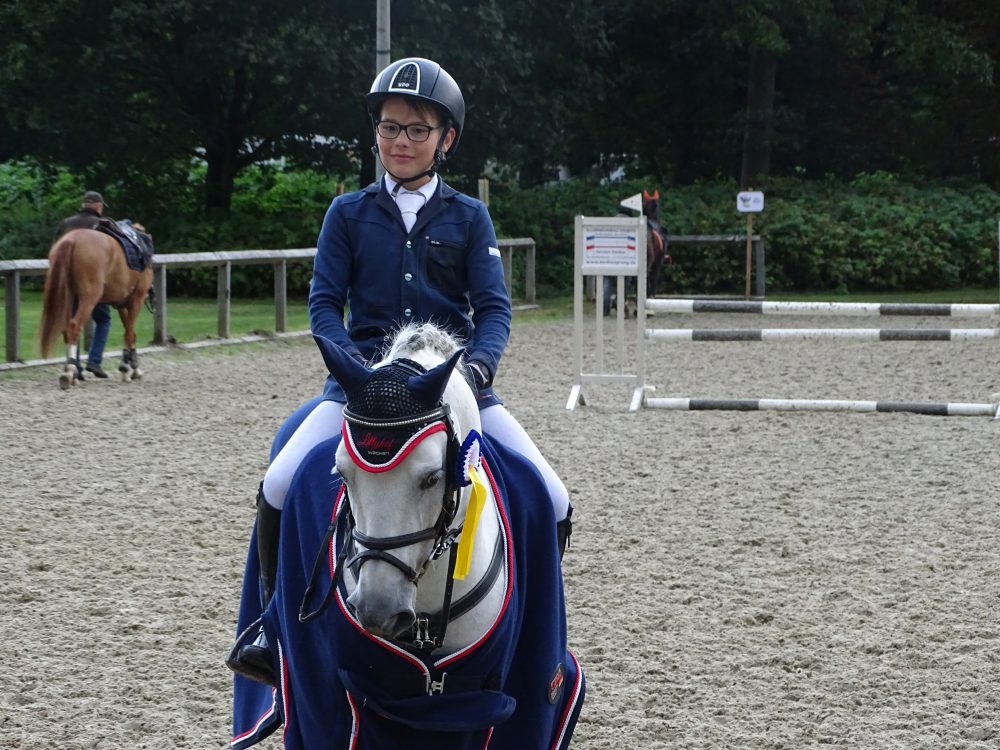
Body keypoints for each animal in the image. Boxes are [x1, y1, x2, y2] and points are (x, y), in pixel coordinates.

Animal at [38, 226, 152, 390]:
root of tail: (72, 240)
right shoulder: (137, 299)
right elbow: (129, 334)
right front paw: (128, 369)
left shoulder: (121, 304)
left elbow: (130, 332)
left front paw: (132, 368)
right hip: (89, 297)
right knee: (74, 327)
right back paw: (69, 373)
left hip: (70, 297)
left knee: (67, 330)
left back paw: (72, 373)